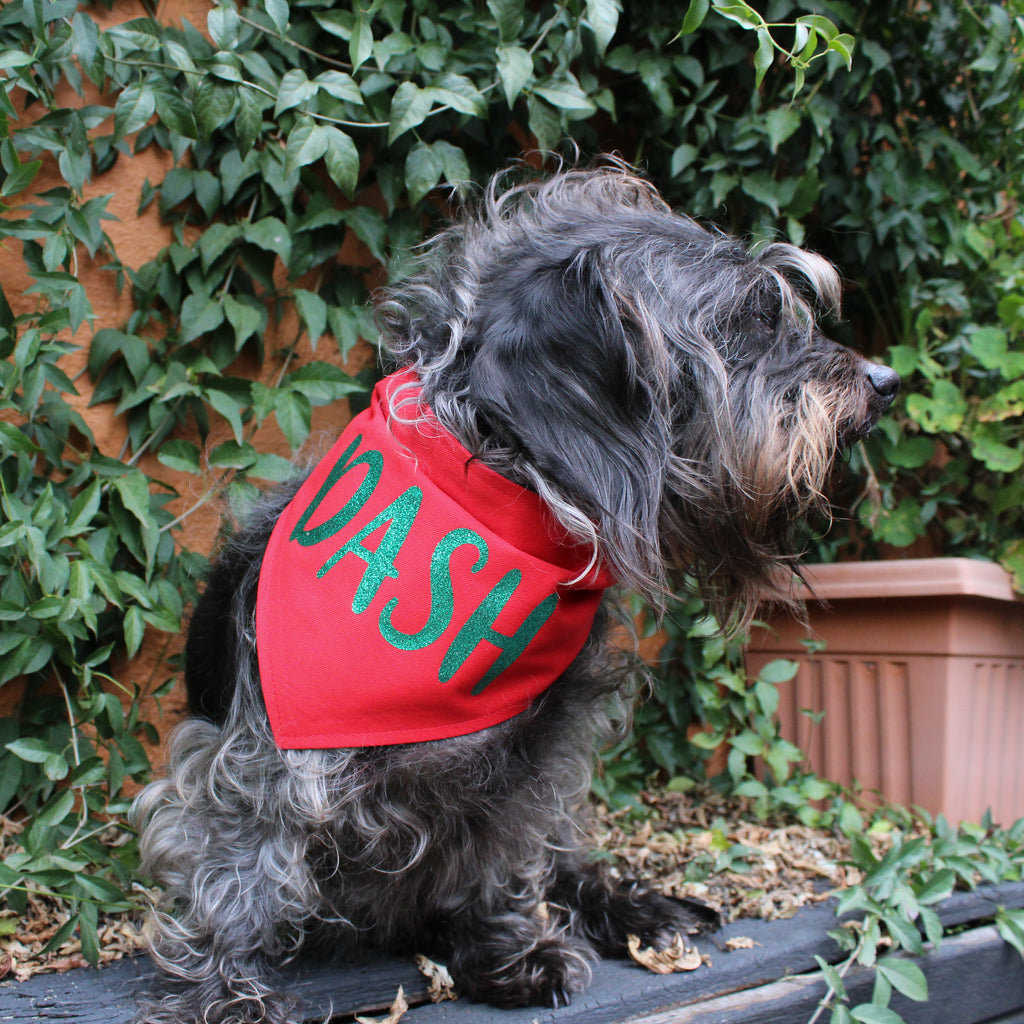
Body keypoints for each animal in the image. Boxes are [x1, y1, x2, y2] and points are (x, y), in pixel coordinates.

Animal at [134, 163, 897, 1019]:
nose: (885, 382)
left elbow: (499, 861)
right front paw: (223, 997)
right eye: (747, 320)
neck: (503, 484)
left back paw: (629, 907)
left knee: (563, 861)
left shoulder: (531, 758)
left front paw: (505, 955)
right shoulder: (258, 763)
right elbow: (238, 874)